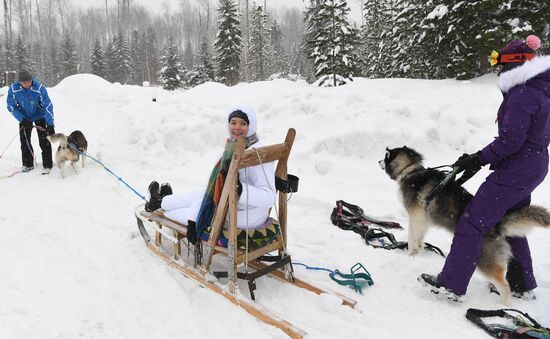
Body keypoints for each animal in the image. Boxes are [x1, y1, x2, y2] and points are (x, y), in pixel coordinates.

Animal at [380, 146, 550, 306]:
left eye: (385, 156)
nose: (378, 161)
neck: (410, 170)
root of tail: (496, 227)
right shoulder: (424, 220)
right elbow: (420, 239)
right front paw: (418, 251)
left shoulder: (415, 216)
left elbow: (411, 238)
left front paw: (409, 255)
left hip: (484, 260)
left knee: (504, 286)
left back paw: (505, 306)